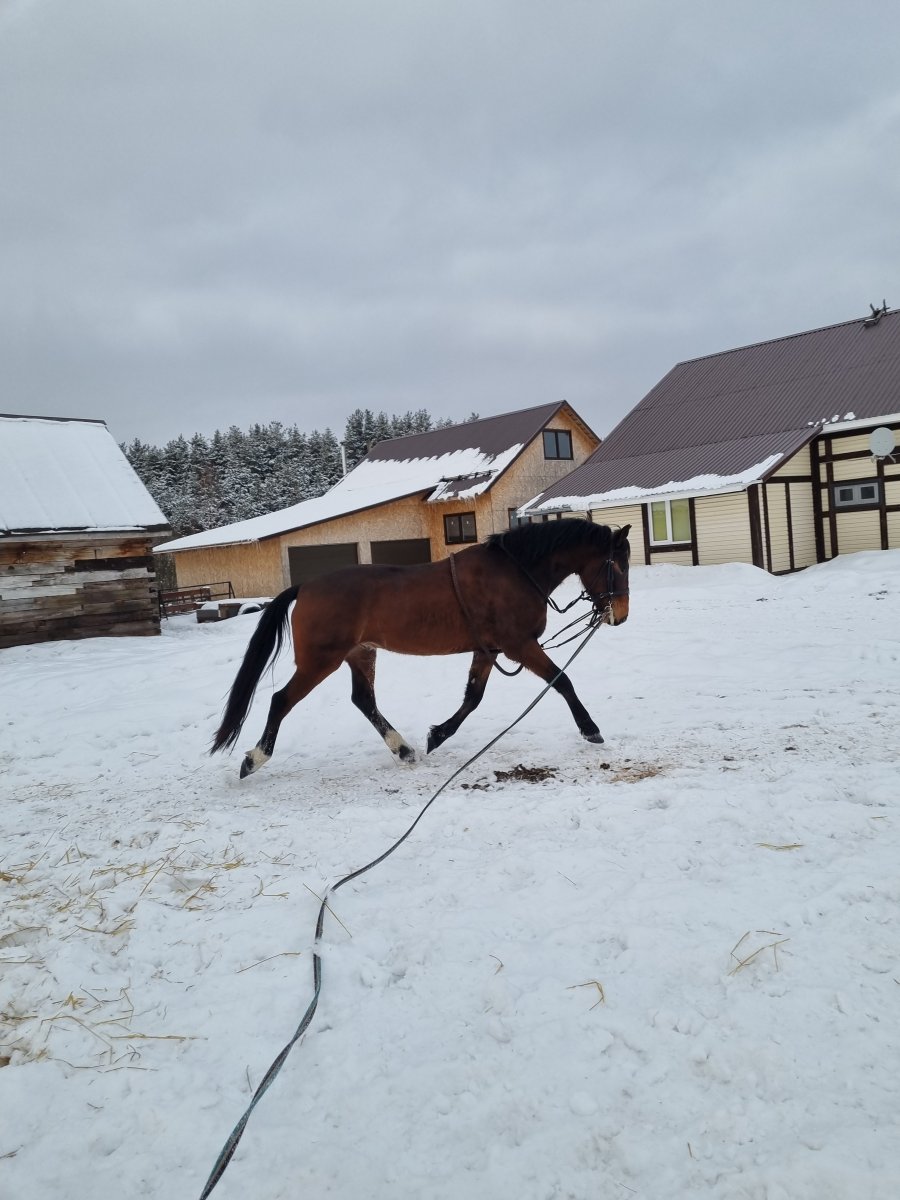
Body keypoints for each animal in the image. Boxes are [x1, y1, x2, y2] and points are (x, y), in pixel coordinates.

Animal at [211, 518, 631, 778]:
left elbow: (472, 698)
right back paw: (255, 758)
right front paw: (590, 729)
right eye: (617, 566)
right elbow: (562, 681)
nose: (621, 615)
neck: (514, 572)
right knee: (281, 699)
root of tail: (306, 586)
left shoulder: (489, 650)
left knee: (364, 700)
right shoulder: (519, 646)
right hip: (320, 661)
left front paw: (438, 734)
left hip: (360, 654)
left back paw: (404, 749)